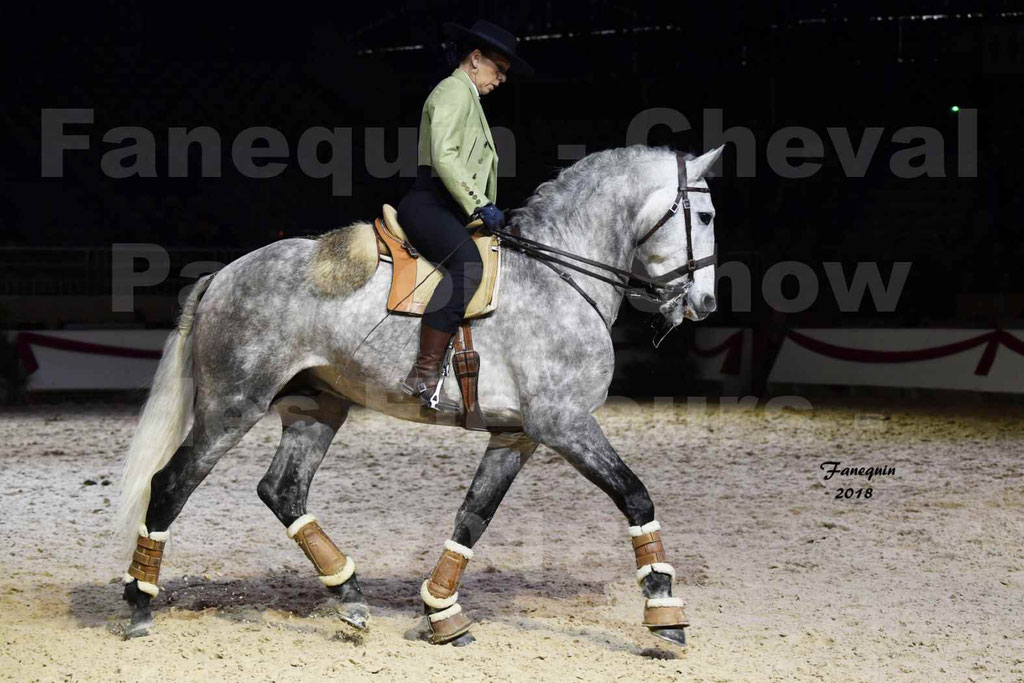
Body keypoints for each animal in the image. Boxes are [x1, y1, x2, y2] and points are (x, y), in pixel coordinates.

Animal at [116, 143, 724, 647]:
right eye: (706, 216)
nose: (706, 303)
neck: (559, 275)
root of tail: (222, 276)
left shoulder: (517, 435)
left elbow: (473, 517)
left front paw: (442, 613)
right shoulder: (565, 424)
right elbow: (636, 496)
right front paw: (665, 609)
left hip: (318, 407)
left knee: (282, 490)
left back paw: (350, 597)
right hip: (231, 407)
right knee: (170, 486)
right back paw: (140, 604)